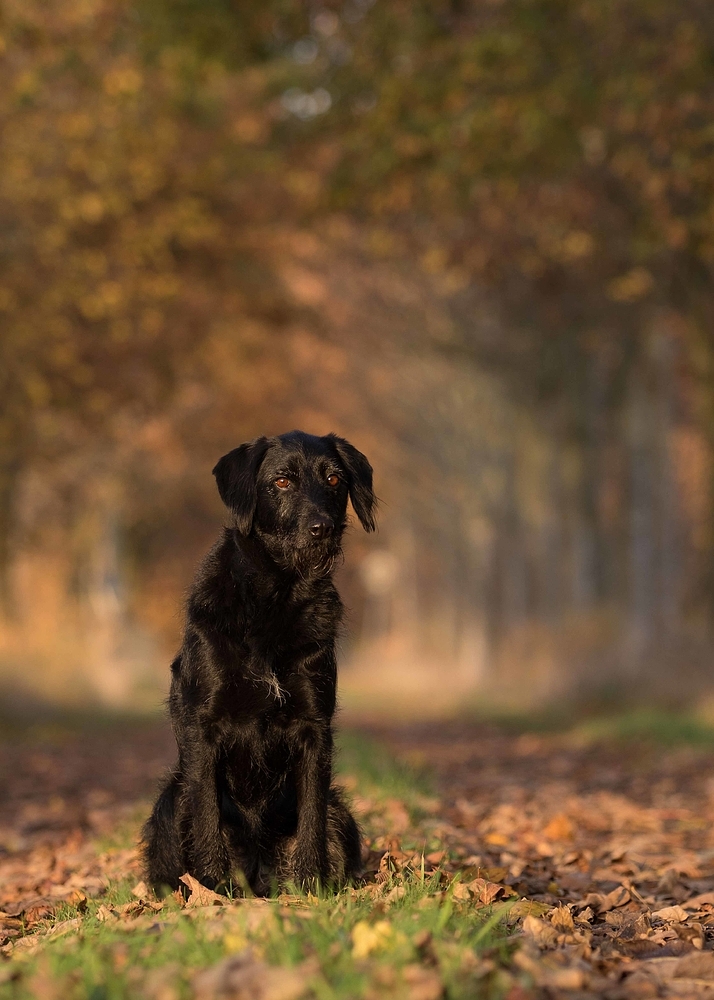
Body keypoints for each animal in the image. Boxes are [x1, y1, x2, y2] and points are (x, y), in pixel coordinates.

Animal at [142, 434, 376, 896]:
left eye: (334, 479)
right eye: (281, 481)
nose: (322, 528)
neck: (276, 596)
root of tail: (257, 869)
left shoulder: (313, 727)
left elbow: (310, 817)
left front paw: (311, 885)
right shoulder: (203, 726)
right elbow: (208, 817)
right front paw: (212, 888)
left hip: (341, 812)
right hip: (171, 803)